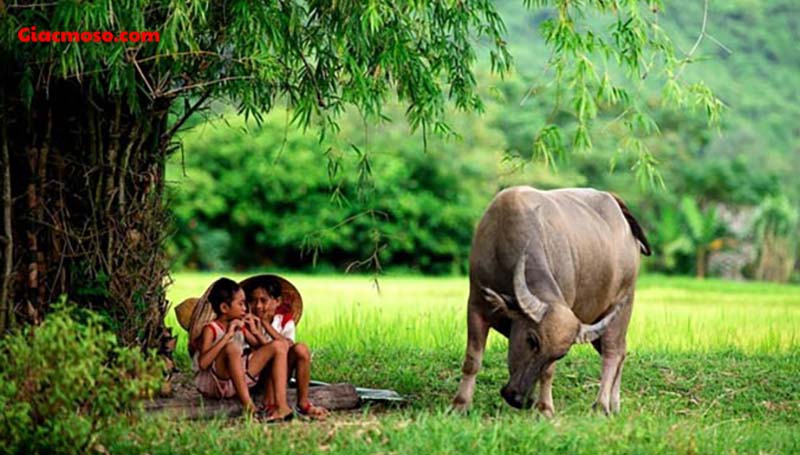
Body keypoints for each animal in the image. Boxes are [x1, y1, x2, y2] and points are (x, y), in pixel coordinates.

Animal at [450, 186, 648, 416]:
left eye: (560, 355)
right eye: (532, 340)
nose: (519, 399)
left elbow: (548, 373)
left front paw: (545, 408)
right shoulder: (475, 306)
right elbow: (472, 360)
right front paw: (460, 404)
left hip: (623, 306)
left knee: (612, 352)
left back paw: (601, 405)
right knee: (622, 351)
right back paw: (614, 404)